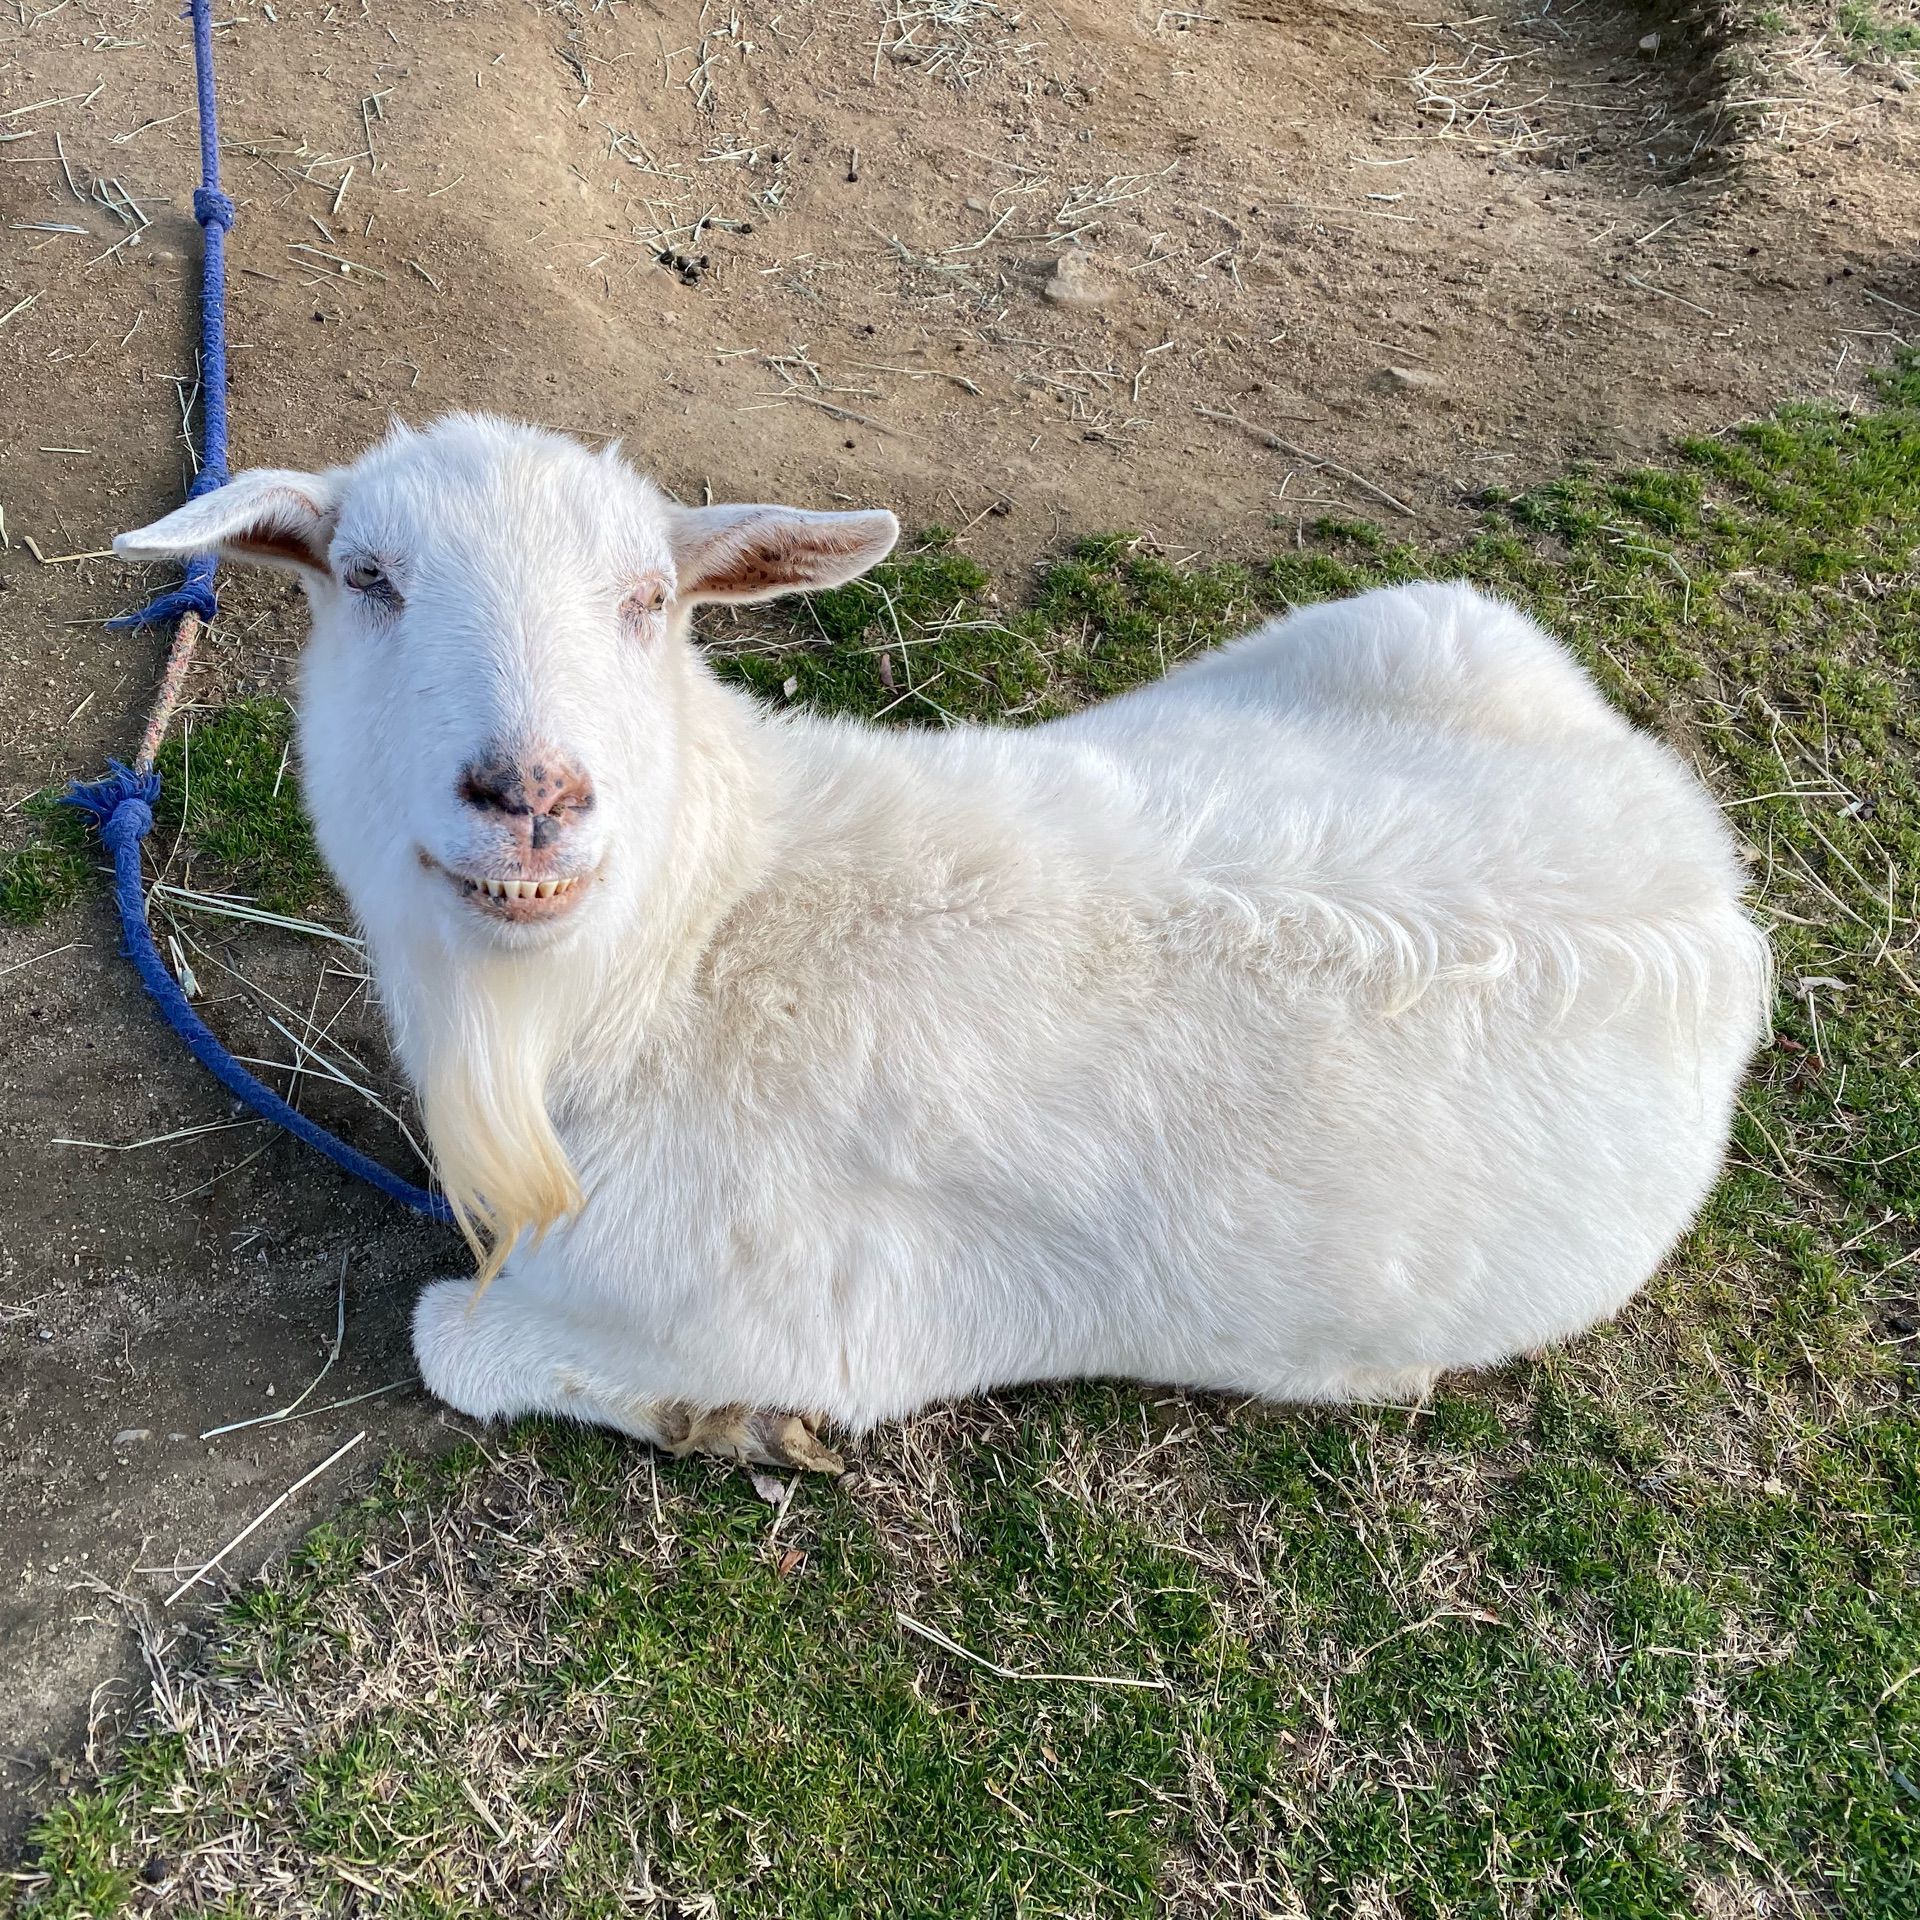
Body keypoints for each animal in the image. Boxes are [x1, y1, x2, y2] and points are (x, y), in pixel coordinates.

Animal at [116, 420, 1766, 1459]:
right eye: (369, 578)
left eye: (650, 598)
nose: (534, 797)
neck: (690, 952)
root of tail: (1708, 884)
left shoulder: (813, 1317)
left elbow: (447, 1339)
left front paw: (730, 1425)